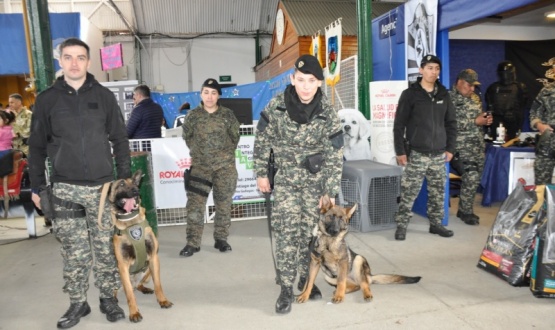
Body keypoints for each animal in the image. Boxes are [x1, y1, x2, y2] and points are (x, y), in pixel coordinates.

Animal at [109, 170, 173, 322]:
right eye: (121, 184)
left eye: (134, 183)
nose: (136, 190)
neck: (131, 222)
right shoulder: (123, 265)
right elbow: (129, 295)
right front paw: (134, 313)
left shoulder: (154, 257)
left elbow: (158, 284)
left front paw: (162, 300)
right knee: (121, 290)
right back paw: (114, 299)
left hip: (147, 269)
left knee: (138, 285)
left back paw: (144, 288)